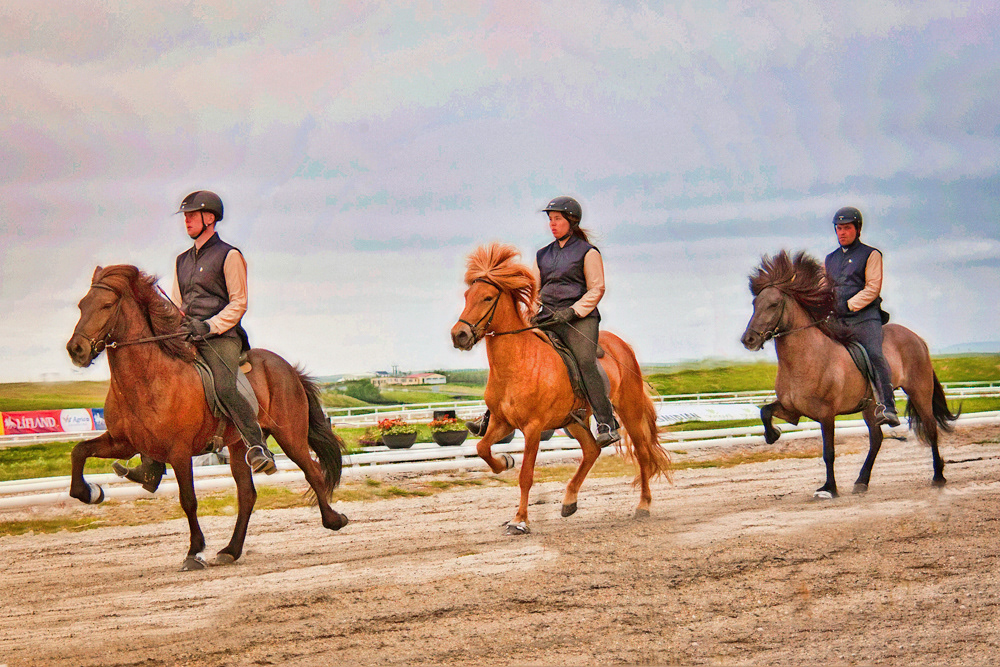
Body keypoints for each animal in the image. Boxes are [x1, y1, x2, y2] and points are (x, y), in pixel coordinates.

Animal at [66, 265, 348, 570]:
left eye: (106, 305)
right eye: (81, 305)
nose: (76, 350)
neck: (148, 377)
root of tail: (287, 367)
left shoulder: (179, 452)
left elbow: (188, 500)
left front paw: (194, 552)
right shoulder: (124, 443)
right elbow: (79, 451)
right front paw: (91, 492)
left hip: (290, 436)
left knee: (312, 471)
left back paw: (334, 520)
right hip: (238, 447)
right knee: (247, 495)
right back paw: (231, 550)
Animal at [450, 243, 671, 533]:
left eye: (487, 298)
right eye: (467, 295)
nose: (459, 335)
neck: (518, 361)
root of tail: (623, 346)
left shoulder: (533, 428)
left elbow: (526, 475)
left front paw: (519, 521)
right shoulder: (501, 422)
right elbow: (482, 449)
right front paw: (505, 461)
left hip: (629, 411)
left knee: (642, 453)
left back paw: (643, 505)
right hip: (574, 420)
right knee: (592, 450)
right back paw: (569, 501)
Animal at [740, 250, 959, 498]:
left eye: (774, 304)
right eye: (755, 303)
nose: (748, 340)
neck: (805, 358)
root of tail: (917, 339)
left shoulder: (826, 414)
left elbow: (828, 452)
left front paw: (829, 489)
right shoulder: (792, 410)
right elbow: (765, 411)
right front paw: (772, 435)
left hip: (919, 391)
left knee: (931, 429)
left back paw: (938, 477)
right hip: (872, 406)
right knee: (877, 439)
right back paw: (861, 482)